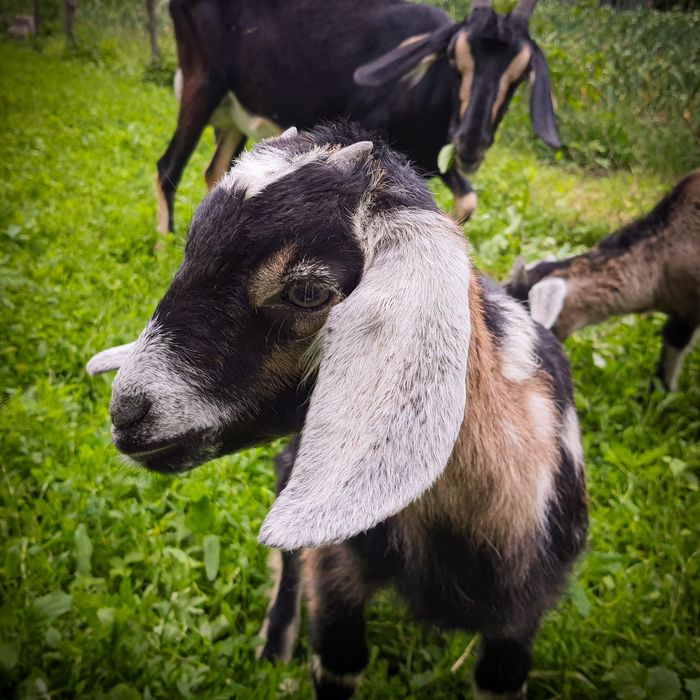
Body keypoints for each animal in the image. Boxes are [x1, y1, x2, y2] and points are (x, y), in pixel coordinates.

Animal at [157, 0, 559, 233]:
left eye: (520, 74)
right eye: (453, 58)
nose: (471, 143)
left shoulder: (430, 157)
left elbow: (466, 202)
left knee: (216, 170)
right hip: (202, 82)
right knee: (168, 166)